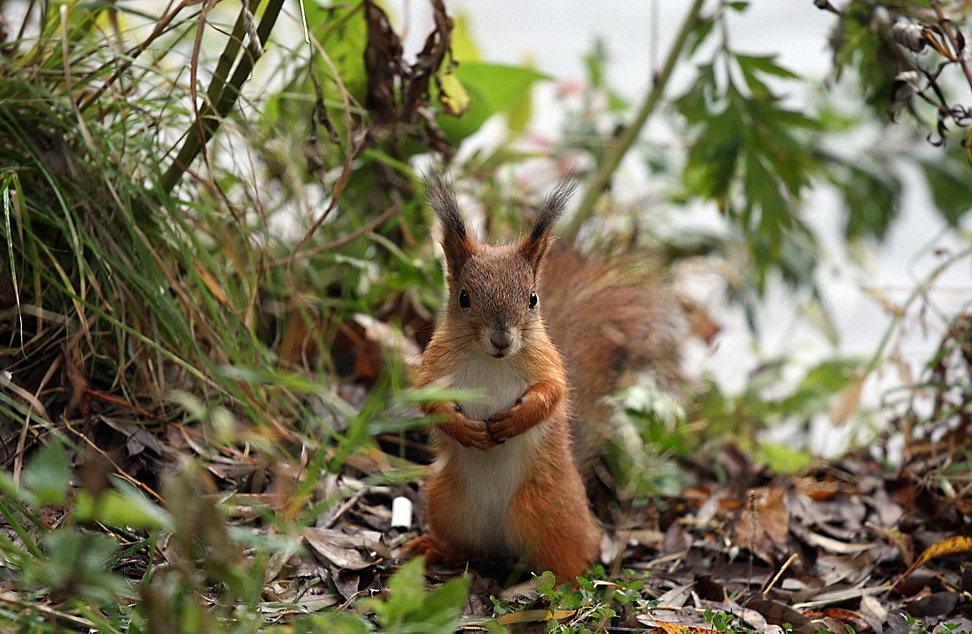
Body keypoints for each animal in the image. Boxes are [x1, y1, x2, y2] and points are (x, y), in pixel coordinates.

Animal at [408, 172, 684, 584]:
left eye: (533, 298)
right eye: (464, 298)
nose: (502, 339)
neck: (492, 361)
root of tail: (500, 539)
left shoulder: (548, 364)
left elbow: (554, 393)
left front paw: (515, 420)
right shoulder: (435, 365)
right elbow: (426, 399)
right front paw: (465, 430)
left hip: (548, 513)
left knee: (569, 561)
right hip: (446, 501)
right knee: (470, 549)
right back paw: (436, 549)